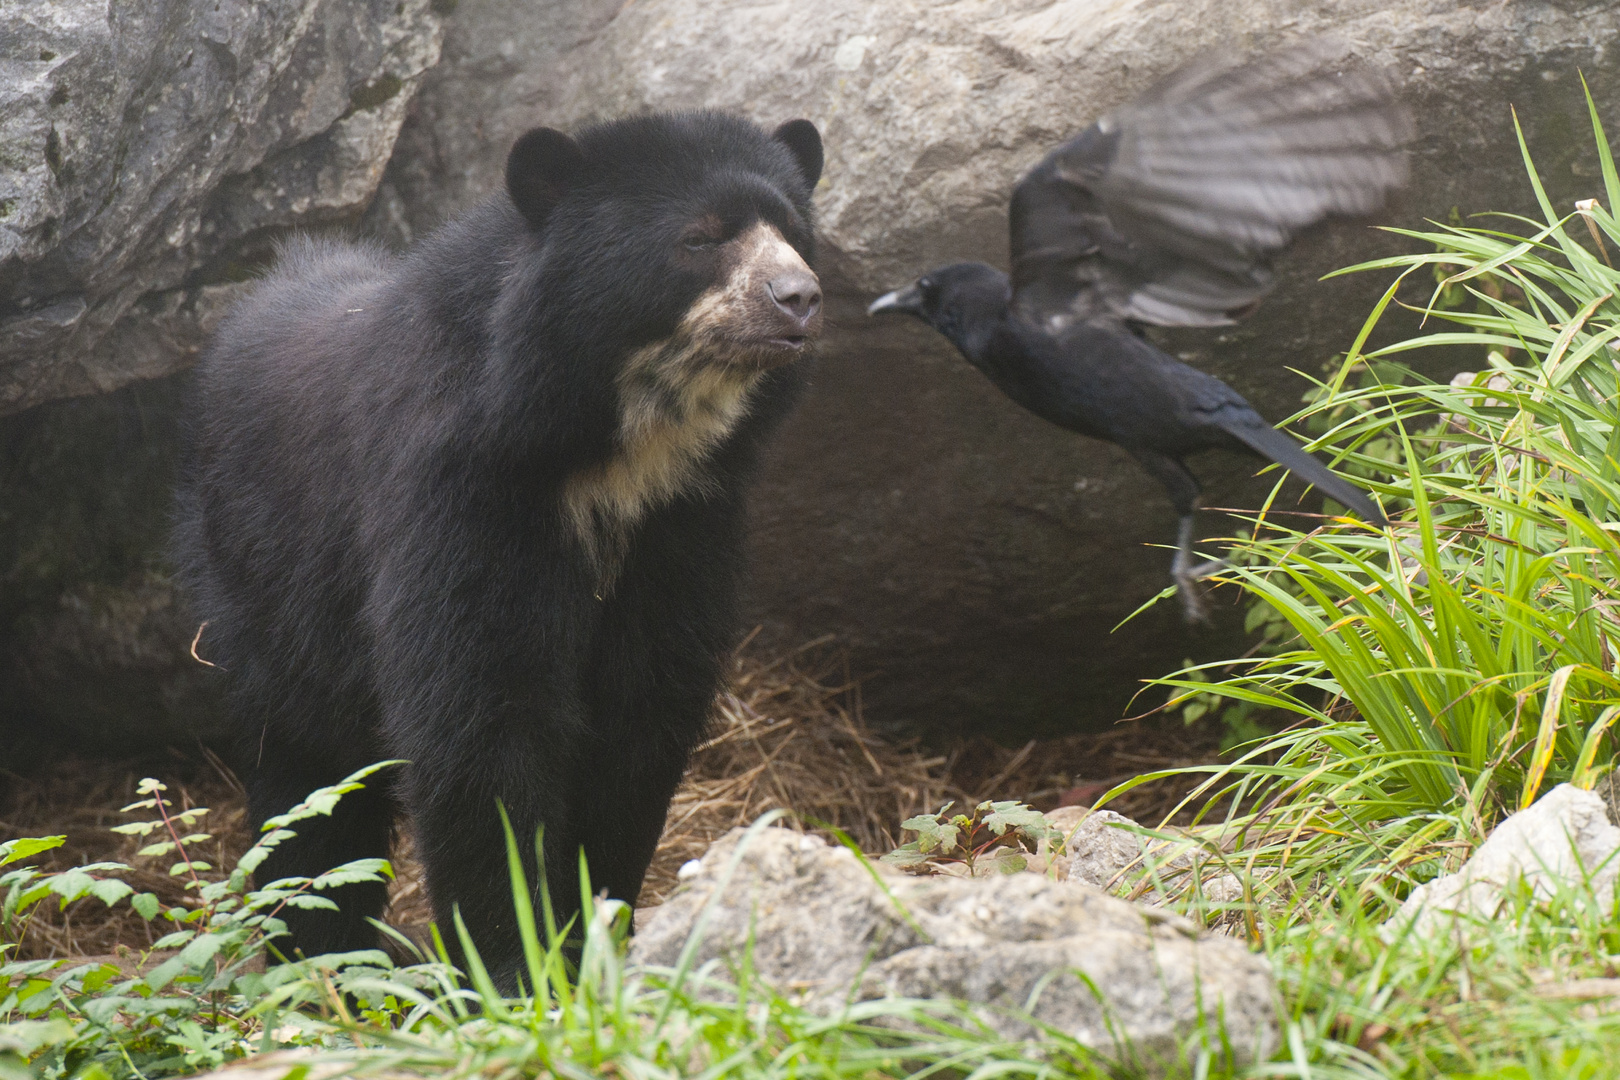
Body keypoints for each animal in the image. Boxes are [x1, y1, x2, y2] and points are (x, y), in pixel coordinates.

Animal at [177, 114, 822, 984]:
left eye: (793, 233)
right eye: (698, 238)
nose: (798, 298)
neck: (617, 447)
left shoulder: (684, 524)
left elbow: (643, 714)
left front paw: (592, 933)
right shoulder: (459, 493)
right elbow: (484, 710)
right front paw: (515, 964)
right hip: (265, 565)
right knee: (308, 772)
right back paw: (320, 956)